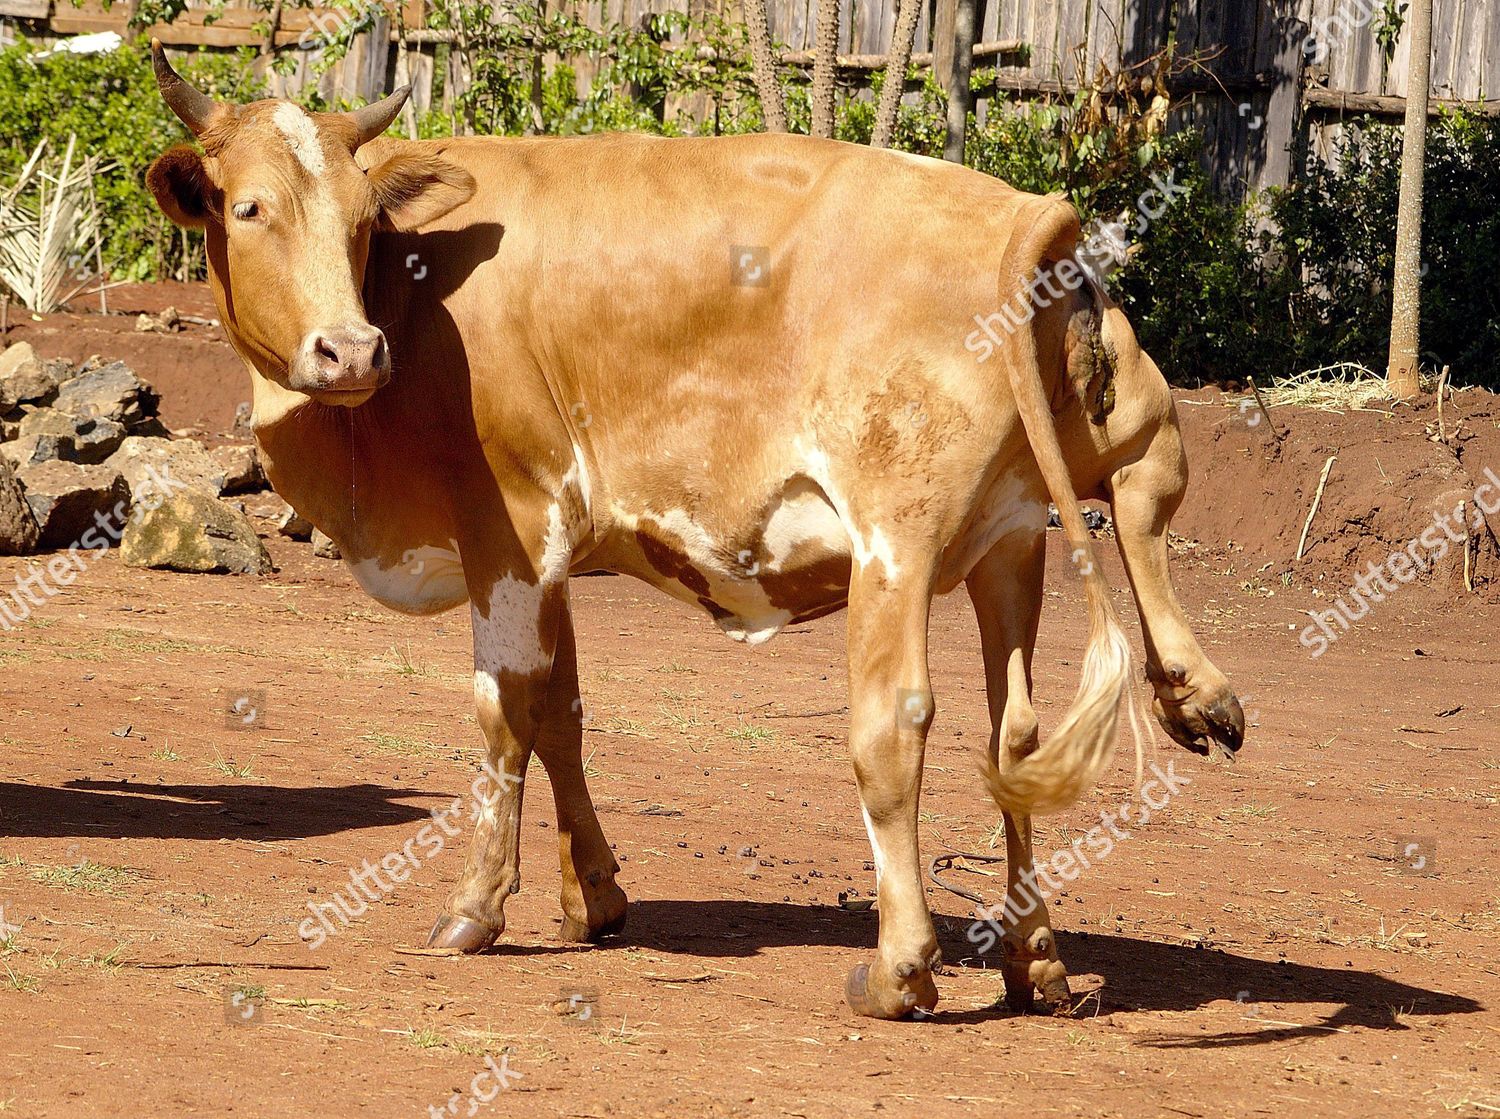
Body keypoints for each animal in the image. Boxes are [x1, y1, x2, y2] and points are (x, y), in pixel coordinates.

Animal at [143, 41, 1242, 1020]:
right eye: (249, 208)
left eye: (366, 220)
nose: (349, 349)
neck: (418, 300)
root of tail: (1019, 213)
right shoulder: (552, 554)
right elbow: (562, 714)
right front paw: (591, 897)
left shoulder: (510, 527)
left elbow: (505, 714)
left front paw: (475, 909)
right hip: (1015, 533)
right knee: (1051, 660)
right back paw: (1064, 910)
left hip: (896, 546)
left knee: (894, 728)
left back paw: (900, 971)